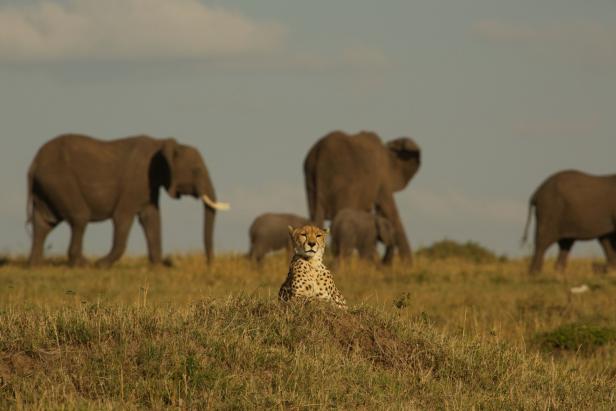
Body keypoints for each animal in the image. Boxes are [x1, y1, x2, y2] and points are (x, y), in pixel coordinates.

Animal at [25, 133, 230, 268]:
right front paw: (101, 265)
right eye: (196, 170)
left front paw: (158, 267)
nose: (209, 263)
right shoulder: (136, 181)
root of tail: (34, 163)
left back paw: (35, 266)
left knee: (43, 223)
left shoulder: (149, 185)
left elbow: (151, 218)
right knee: (79, 218)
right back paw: (83, 264)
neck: (161, 144)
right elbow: (123, 218)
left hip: (47, 187)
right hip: (59, 181)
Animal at [304, 131, 422, 264]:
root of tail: (320, 153)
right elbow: (390, 210)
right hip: (343, 179)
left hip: (310, 179)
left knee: (316, 216)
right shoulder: (382, 178)